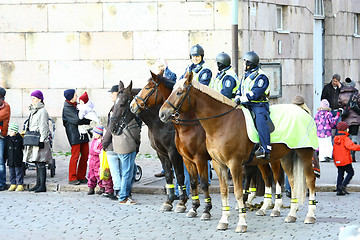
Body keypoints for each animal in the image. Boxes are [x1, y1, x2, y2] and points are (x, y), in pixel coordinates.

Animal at [109, 80, 188, 212]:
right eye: (114, 104)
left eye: (122, 104)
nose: (112, 128)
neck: (162, 123)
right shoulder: (161, 153)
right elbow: (168, 175)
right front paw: (169, 200)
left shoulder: (174, 153)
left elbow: (179, 175)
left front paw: (182, 202)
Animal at [129, 71, 284, 218]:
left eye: (148, 87)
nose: (132, 106)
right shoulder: (181, 157)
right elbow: (186, 180)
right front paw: (189, 206)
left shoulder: (195, 158)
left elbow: (196, 181)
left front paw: (200, 208)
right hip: (257, 159)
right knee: (262, 176)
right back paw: (255, 202)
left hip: (272, 158)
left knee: (274, 177)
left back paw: (270, 205)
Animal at [159, 72, 316, 232]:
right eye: (172, 90)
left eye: (179, 92)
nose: (162, 114)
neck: (221, 123)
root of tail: (303, 111)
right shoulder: (217, 164)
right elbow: (223, 191)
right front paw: (224, 220)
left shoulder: (231, 163)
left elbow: (238, 192)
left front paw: (241, 222)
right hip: (285, 157)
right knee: (291, 180)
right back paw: (291, 214)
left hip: (303, 154)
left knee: (309, 180)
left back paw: (309, 215)